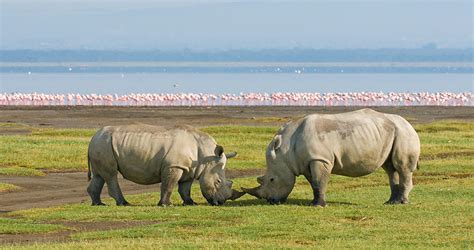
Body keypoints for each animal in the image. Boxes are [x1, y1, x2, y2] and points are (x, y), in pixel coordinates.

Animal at [87, 124, 244, 206]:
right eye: (218, 182)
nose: (221, 202)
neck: (206, 156)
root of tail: (93, 137)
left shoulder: (189, 169)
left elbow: (185, 188)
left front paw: (190, 203)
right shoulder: (174, 166)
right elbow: (169, 185)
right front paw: (166, 205)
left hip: (101, 144)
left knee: (99, 175)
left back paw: (98, 204)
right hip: (104, 144)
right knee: (111, 175)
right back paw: (124, 203)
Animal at [243, 108, 420, 206]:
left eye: (272, 179)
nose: (271, 201)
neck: (286, 149)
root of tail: (410, 124)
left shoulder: (319, 158)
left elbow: (318, 181)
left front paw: (319, 206)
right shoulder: (307, 161)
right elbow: (314, 183)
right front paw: (314, 203)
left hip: (404, 133)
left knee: (402, 167)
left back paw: (402, 203)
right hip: (393, 133)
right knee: (390, 168)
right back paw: (391, 202)